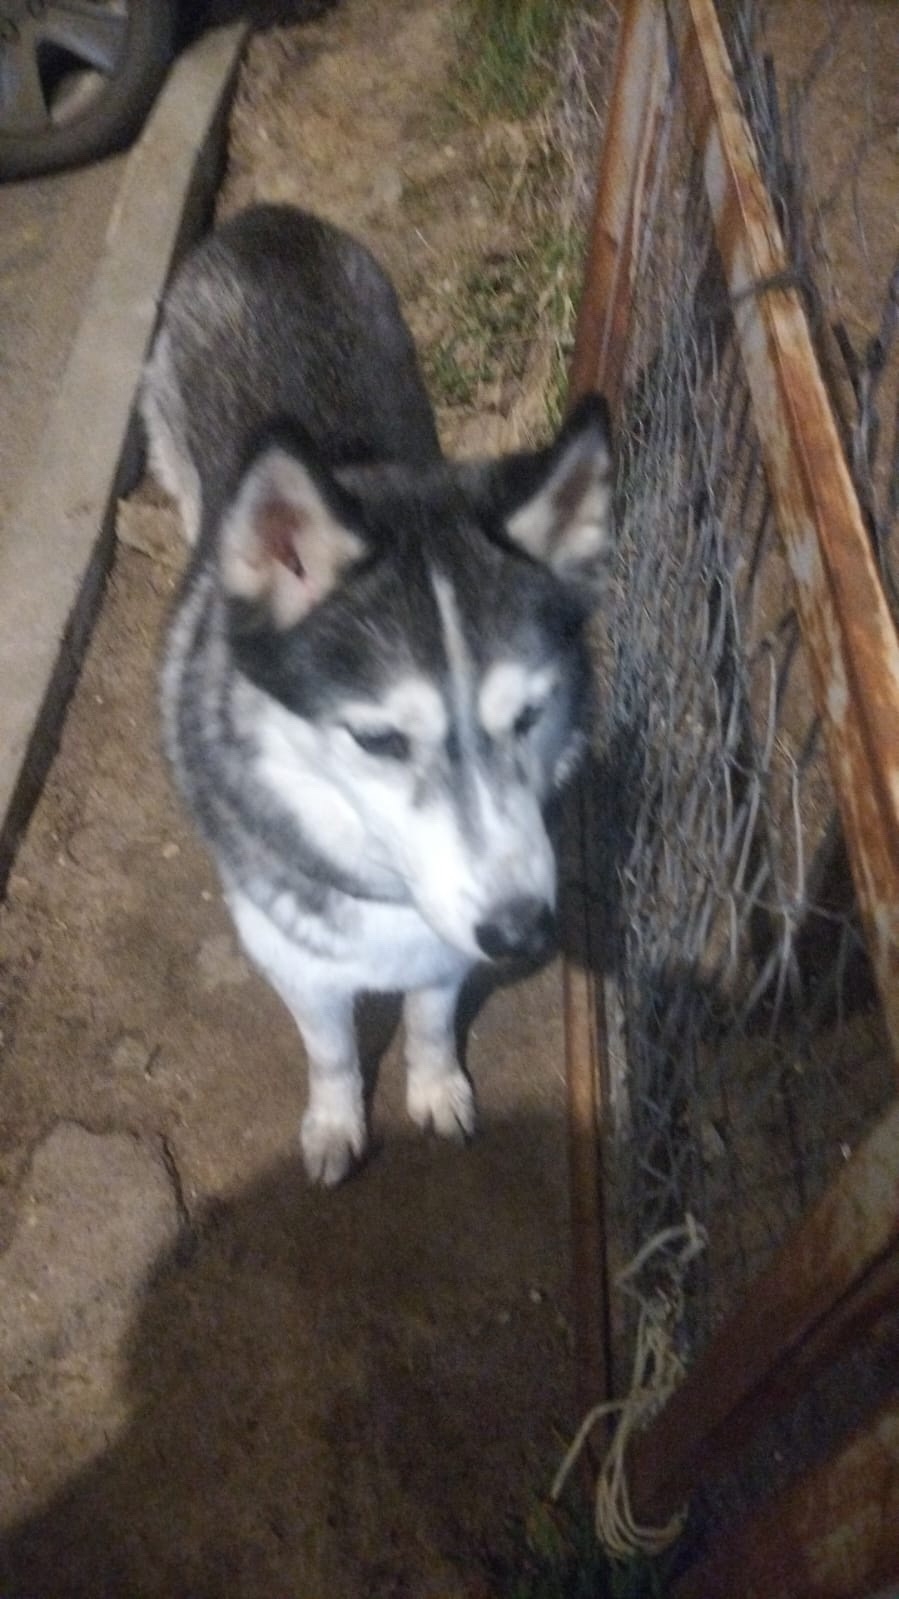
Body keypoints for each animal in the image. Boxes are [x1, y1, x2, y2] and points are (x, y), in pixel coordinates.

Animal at [142, 204, 613, 1185]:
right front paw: (334, 1120)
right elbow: (328, 1049)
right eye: (379, 741)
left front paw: (434, 1087)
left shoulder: (442, 948)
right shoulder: (294, 961)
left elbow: (430, 1021)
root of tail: (265, 220)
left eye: (527, 716)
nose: (522, 932)